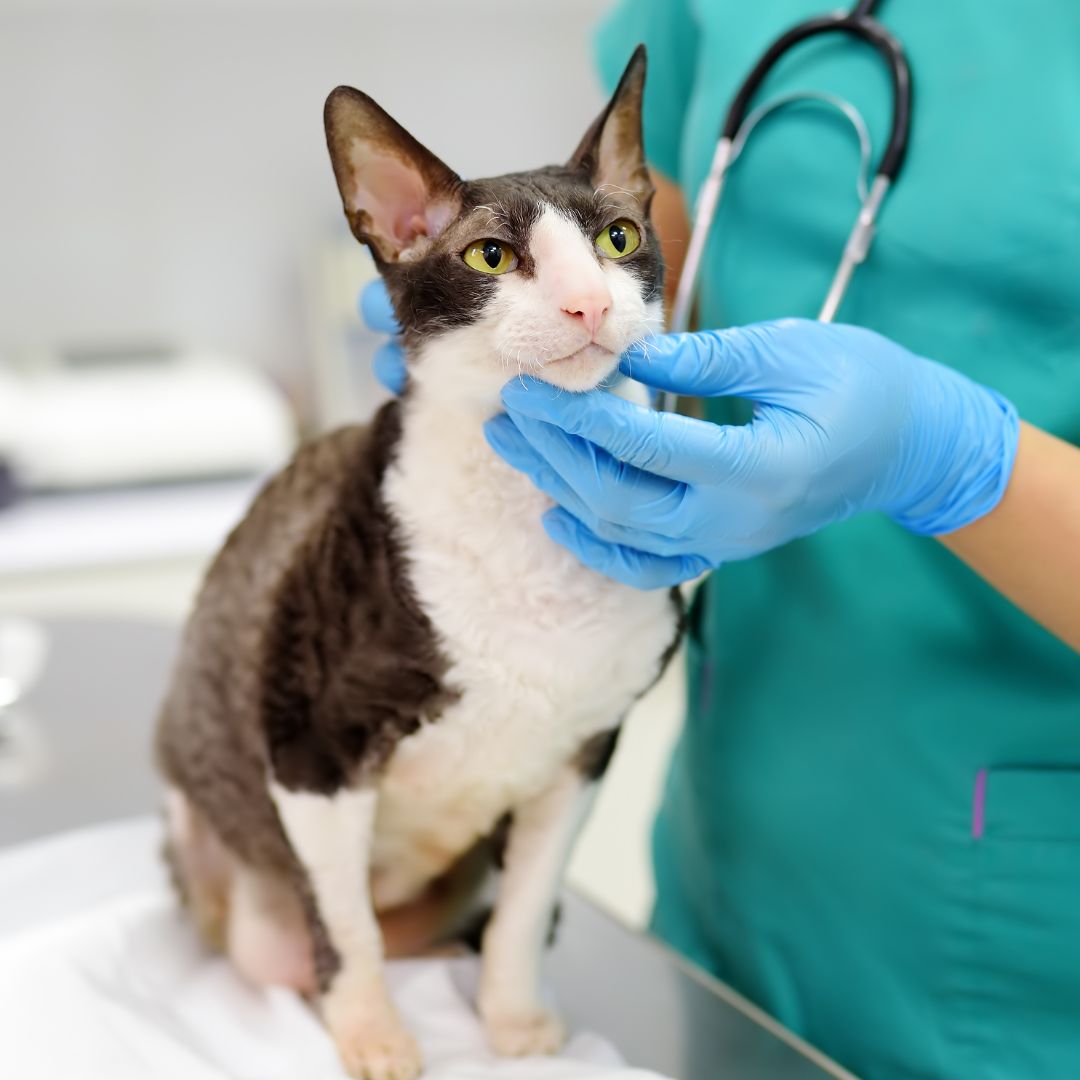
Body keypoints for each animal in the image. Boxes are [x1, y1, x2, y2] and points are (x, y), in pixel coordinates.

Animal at [156, 46, 678, 1080]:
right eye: (491, 257)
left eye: (620, 236)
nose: (592, 302)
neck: (527, 514)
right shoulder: (309, 748)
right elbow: (346, 930)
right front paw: (375, 1034)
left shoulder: (584, 756)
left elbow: (522, 910)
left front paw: (513, 1020)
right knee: (309, 937)